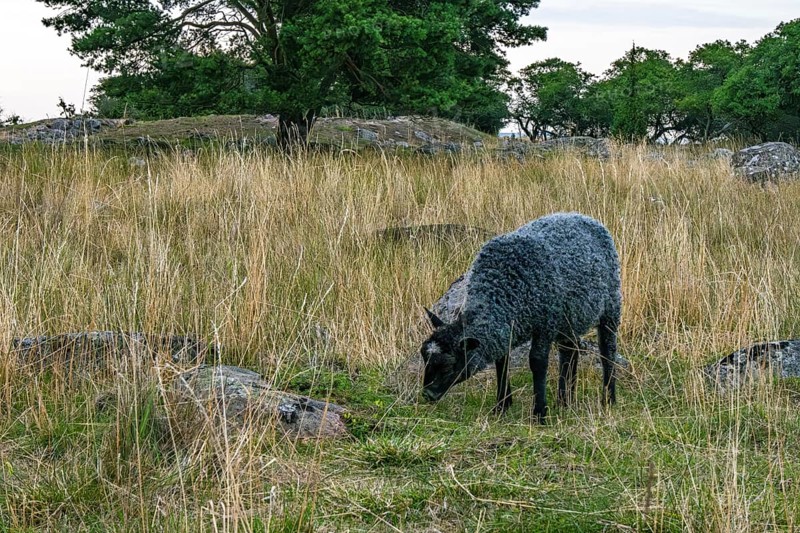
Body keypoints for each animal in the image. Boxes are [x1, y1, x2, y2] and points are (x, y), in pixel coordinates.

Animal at [420, 212, 621, 421]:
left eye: (447, 366)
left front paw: (539, 412)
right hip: (570, 317)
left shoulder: (545, 323)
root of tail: (580, 216)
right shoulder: (507, 328)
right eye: (424, 358)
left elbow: (537, 362)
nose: (427, 395)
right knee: (569, 352)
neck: (502, 288)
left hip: (610, 305)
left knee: (607, 350)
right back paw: (564, 401)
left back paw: (608, 398)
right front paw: (502, 405)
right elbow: (502, 361)